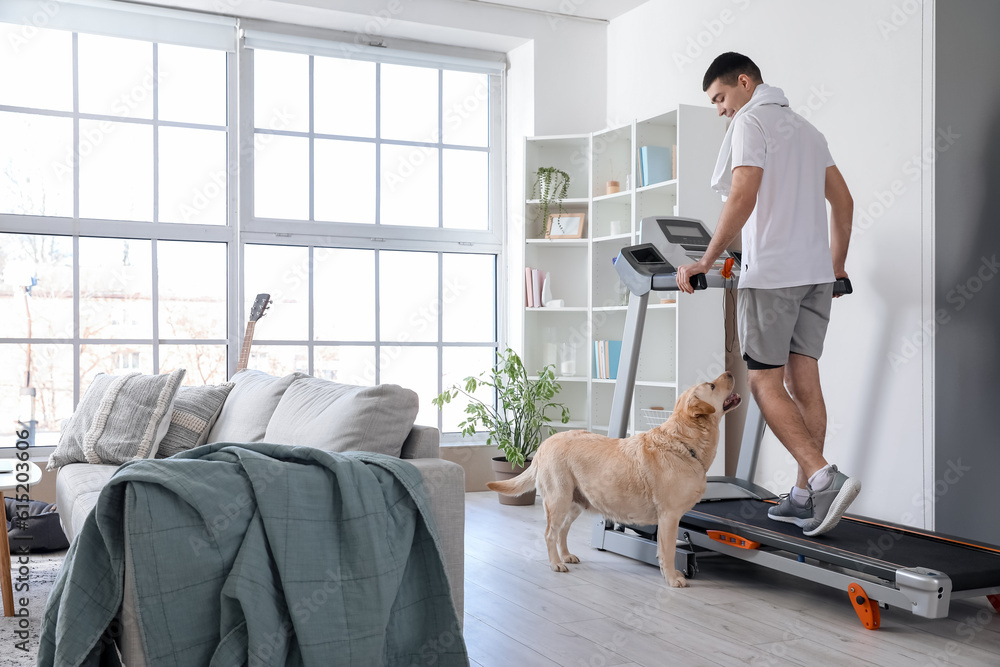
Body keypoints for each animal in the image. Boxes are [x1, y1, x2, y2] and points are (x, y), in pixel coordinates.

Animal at [488, 374, 740, 588]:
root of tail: (545, 444)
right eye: (712, 386)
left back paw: (566, 556)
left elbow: (662, 550)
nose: (730, 372)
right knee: (550, 534)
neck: (684, 443)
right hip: (558, 499)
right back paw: (555, 563)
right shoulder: (669, 516)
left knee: (562, 532)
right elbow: (668, 551)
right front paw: (672, 578)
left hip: (575, 503)